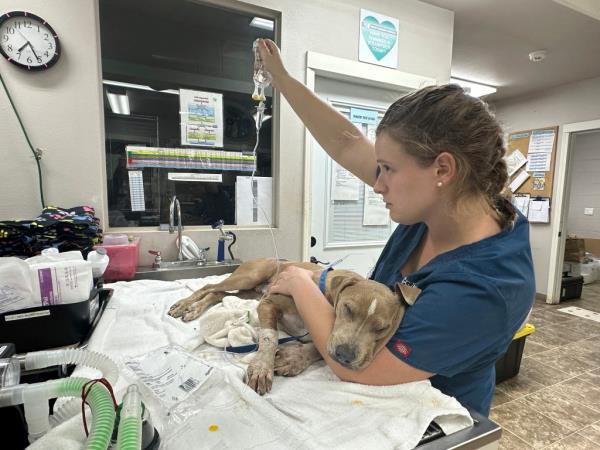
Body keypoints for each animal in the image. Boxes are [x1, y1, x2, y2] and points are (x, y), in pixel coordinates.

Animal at [166, 256, 418, 394]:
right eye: (347, 308)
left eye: (381, 328)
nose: (345, 356)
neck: (322, 296)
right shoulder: (268, 303)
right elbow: (270, 337)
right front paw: (262, 367)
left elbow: (317, 348)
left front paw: (294, 359)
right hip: (250, 277)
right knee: (209, 286)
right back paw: (184, 306)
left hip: (252, 292)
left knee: (217, 294)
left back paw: (195, 307)